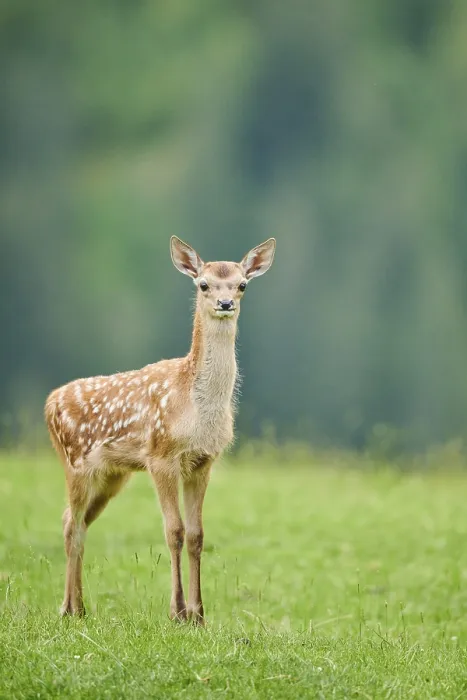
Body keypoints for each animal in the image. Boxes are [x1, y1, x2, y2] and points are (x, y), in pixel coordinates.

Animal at [45, 236, 276, 624]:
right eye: (203, 284)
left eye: (242, 284)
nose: (225, 303)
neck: (196, 406)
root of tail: (50, 402)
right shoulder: (161, 456)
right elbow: (174, 531)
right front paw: (177, 611)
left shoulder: (203, 462)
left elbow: (197, 534)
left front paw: (199, 615)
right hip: (75, 461)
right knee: (71, 525)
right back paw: (68, 608)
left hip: (113, 474)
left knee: (75, 521)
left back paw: (79, 607)